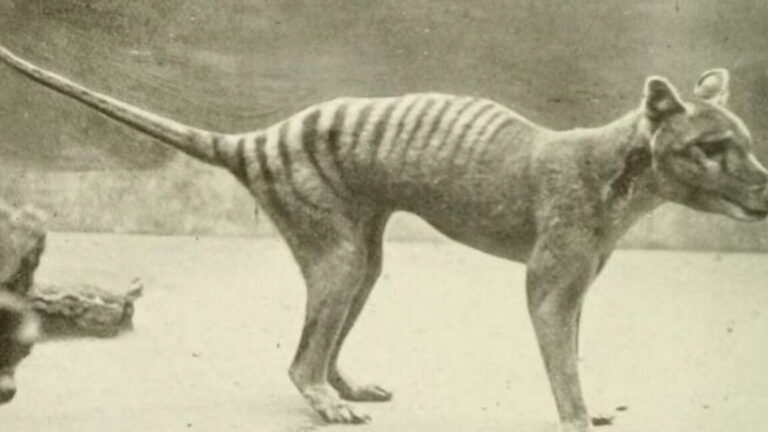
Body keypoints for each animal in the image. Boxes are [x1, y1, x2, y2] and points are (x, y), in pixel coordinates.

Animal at [2, 44, 767, 432]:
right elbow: (563, 361)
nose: (765, 184)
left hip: (362, 253)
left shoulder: (581, 285)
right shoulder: (551, 284)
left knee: (336, 323)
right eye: (709, 146)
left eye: (745, 139)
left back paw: (347, 384)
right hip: (335, 251)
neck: (612, 170)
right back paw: (323, 399)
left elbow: (576, 349)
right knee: (300, 360)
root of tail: (255, 142)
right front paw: (577, 419)